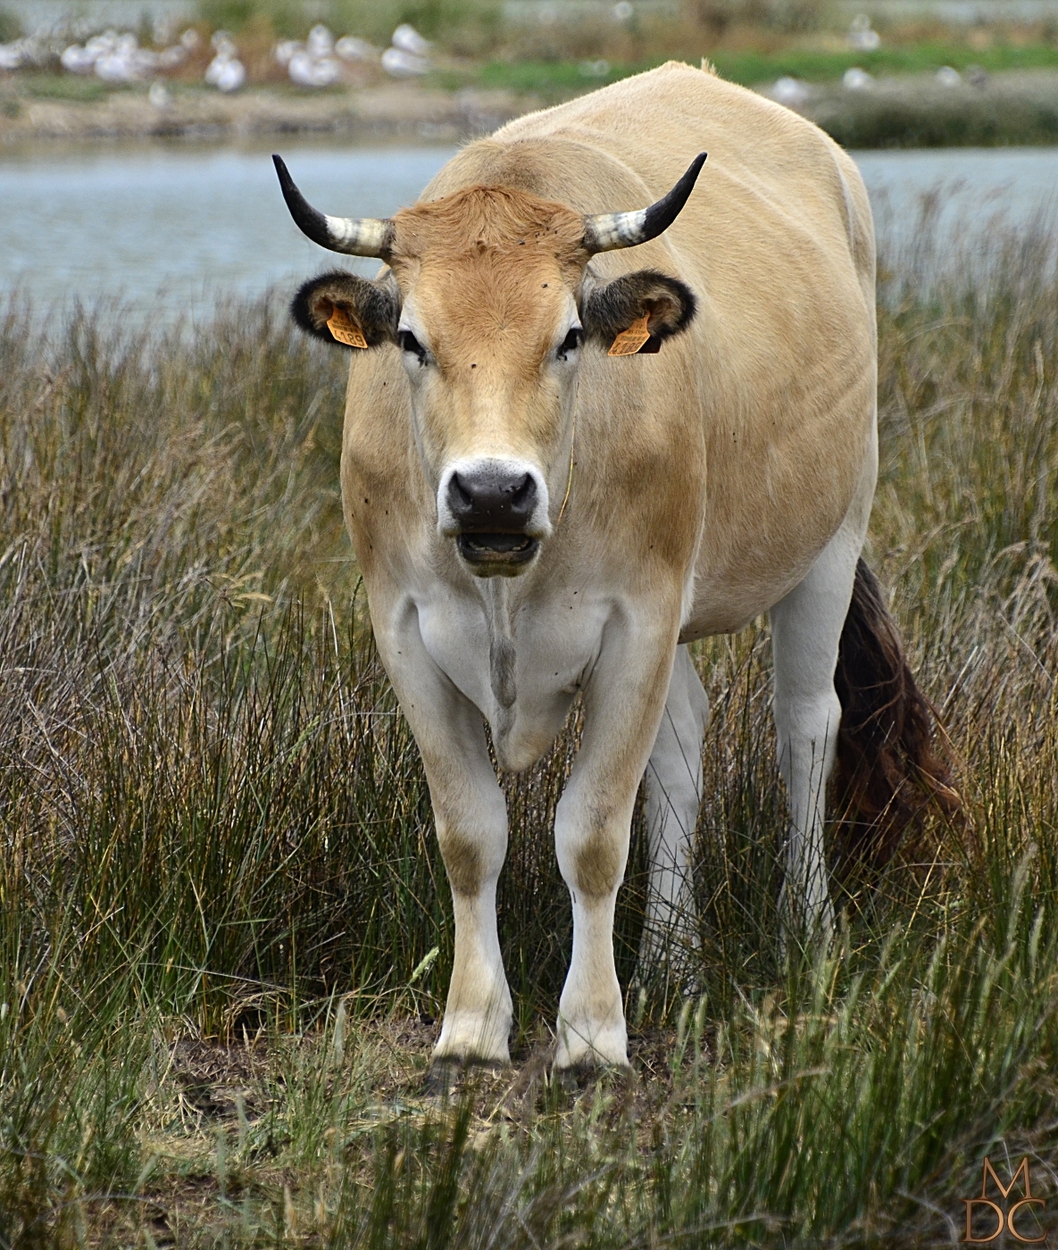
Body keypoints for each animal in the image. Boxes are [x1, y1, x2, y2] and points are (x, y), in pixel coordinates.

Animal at [273, 60, 950, 1075]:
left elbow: (591, 835)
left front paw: (592, 1032)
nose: (491, 493)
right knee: (682, 751)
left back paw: (807, 931)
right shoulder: (404, 630)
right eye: (412, 341)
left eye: (567, 336)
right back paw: (672, 958)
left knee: (806, 727)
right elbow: (470, 834)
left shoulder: (637, 620)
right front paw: (472, 1026)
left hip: (832, 539)